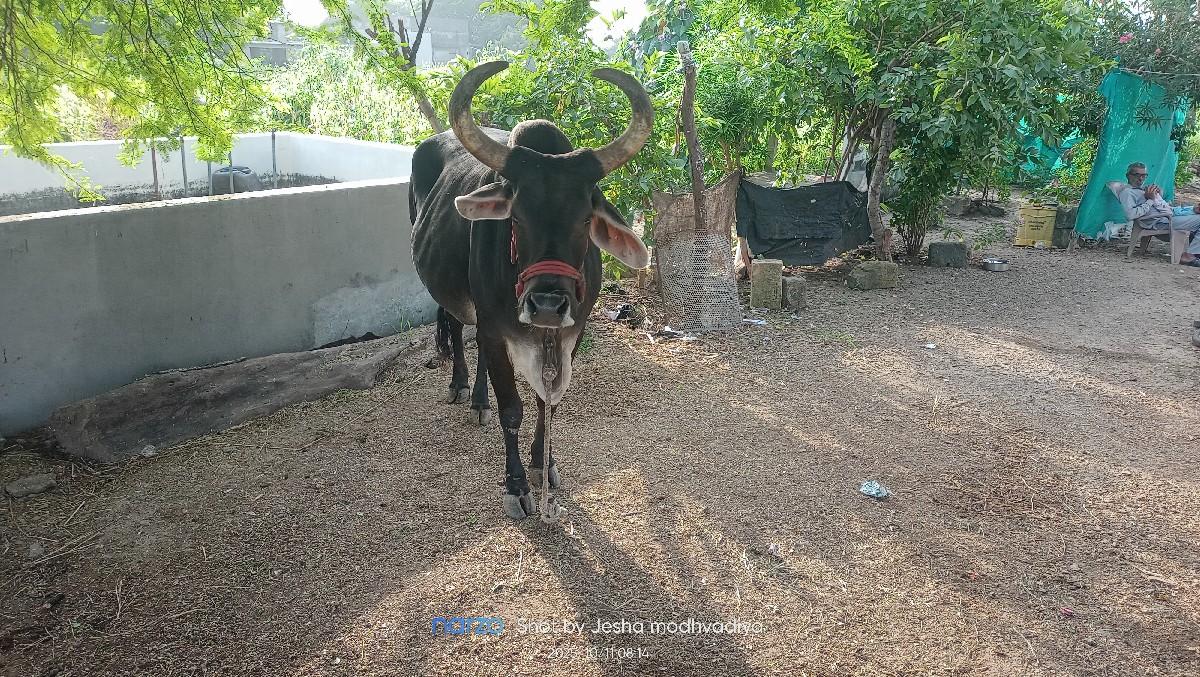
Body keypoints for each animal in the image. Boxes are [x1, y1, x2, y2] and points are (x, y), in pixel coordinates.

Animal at [408, 61, 653, 519]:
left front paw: (545, 464)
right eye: (516, 217)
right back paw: (462, 387)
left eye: (584, 219)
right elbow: (512, 409)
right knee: (455, 326)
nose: (547, 305)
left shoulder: (572, 333)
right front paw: (518, 486)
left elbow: (548, 402)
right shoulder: (495, 326)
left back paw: (478, 400)